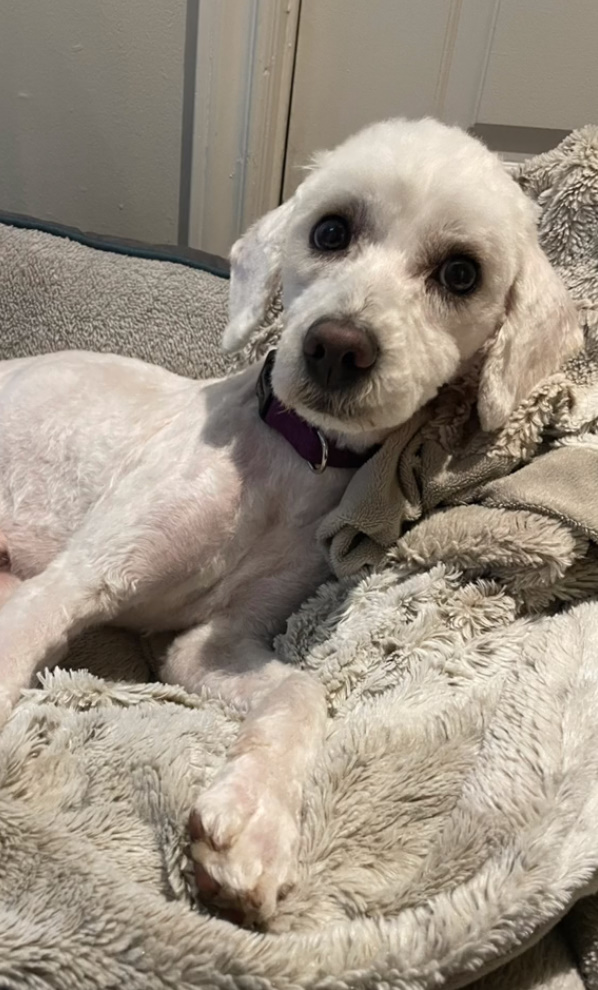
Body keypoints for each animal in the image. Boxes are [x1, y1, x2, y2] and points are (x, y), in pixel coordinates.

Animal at [0, 120, 584, 928]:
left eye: (461, 274)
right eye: (331, 229)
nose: (337, 346)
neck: (290, 462)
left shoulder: (206, 646)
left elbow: (302, 695)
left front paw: (253, 825)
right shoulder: (86, 577)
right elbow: (19, 643)